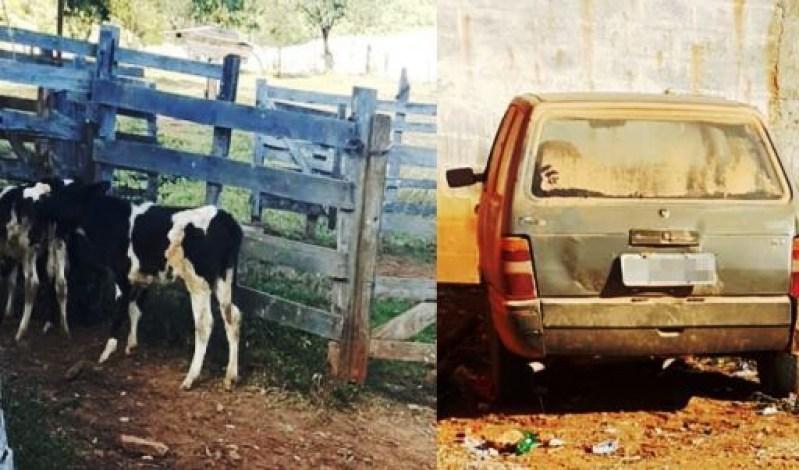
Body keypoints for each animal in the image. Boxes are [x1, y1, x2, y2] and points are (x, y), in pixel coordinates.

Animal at [42, 182, 242, 392]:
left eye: (69, 194)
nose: (44, 203)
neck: (115, 221)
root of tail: (226, 219)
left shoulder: (121, 275)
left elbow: (119, 311)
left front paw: (106, 352)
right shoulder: (143, 278)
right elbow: (135, 309)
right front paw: (131, 345)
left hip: (198, 282)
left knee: (205, 323)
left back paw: (190, 378)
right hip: (224, 278)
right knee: (232, 316)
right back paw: (230, 377)